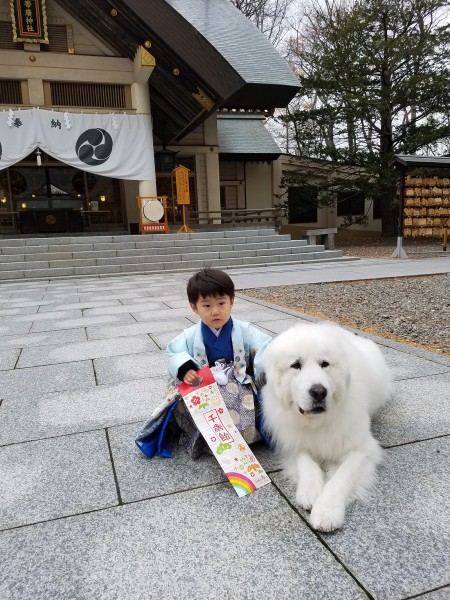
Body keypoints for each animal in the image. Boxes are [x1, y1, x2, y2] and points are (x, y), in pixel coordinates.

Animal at [262, 322, 392, 532]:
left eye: (325, 364)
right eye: (296, 365)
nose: (318, 392)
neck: (317, 421)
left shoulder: (362, 450)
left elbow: (341, 478)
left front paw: (327, 510)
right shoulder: (294, 441)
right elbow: (306, 462)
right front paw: (310, 491)